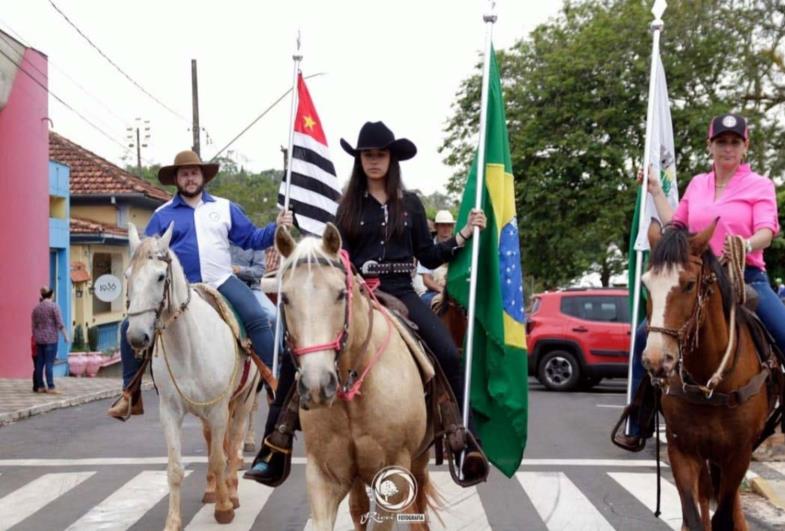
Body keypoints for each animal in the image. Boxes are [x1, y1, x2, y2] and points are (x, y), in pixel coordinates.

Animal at [125, 222, 258, 528]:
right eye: (127, 275)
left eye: (161, 276)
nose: (137, 337)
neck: (187, 347)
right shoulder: (170, 412)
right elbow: (176, 468)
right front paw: (173, 522)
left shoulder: (220, 410)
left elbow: (221, 458)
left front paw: (224, 508)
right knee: (212, 443)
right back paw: (211, 490)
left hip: (243, 401)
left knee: (233, 443)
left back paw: (231, 491)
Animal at [272, 225, 438, 531]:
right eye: (285, 298)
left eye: (341, 294)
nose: (317, 386)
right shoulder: (324, 477)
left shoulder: (394, 476)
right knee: (358, 505)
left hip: (419, 459)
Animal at [636, 221, 776, 531]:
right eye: (646, 284)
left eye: (689, 284)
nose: (656, 360)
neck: (709, 383)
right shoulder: (682, 451)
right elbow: (694, 516)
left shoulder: (738, 454)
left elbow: (723, 514)